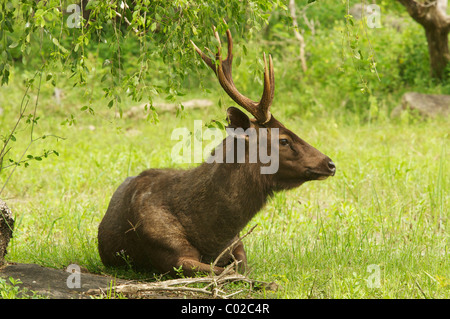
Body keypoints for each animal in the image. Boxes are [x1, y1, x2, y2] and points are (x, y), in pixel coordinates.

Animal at [99, 26, 338, 278]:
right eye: (283, 140)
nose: (330, 164)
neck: (211, 235)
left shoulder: (237, 242)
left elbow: (241, 267)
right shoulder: (170, 254)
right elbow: (225, 272)